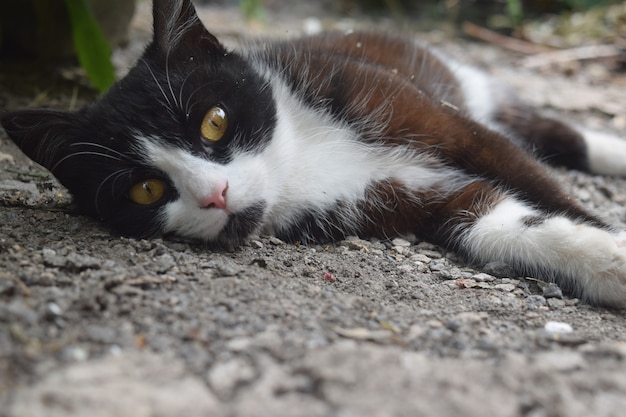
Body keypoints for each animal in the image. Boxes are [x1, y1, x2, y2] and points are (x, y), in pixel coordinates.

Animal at [3, 0, 624, 306]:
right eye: (146, 189)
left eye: (214, 121)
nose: (215, 194)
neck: (299, 159)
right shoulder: (402, 202)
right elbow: (498, 222)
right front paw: (607, 262)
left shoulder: (429, 118)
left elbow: (529, 176)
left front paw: (609, 239)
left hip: (462, 85)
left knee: (549, 132)